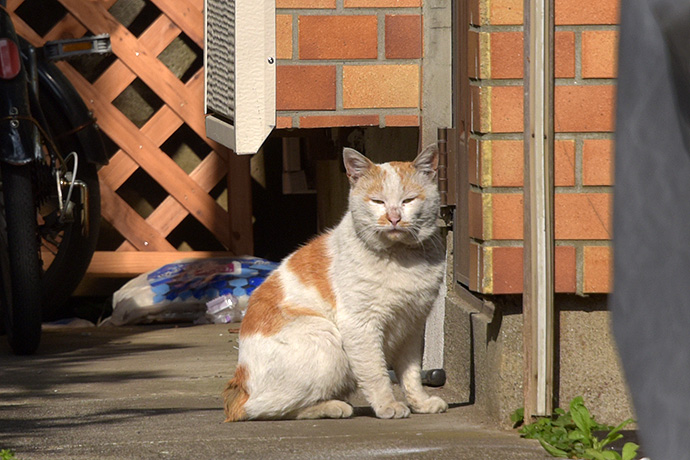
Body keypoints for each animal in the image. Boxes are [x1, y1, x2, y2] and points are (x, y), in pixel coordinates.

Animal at [222, 145, 446, 420]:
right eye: (378, 201)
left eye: (408, 200)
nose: (393, 217)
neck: (401, 258)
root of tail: (239, 384)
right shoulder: (361, 325)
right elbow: (376, 373)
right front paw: (388, 406)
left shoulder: (412, 326)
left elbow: (411, 374)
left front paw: (421, 403)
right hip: (325, 337)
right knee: (266, 408)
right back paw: (333, 407)